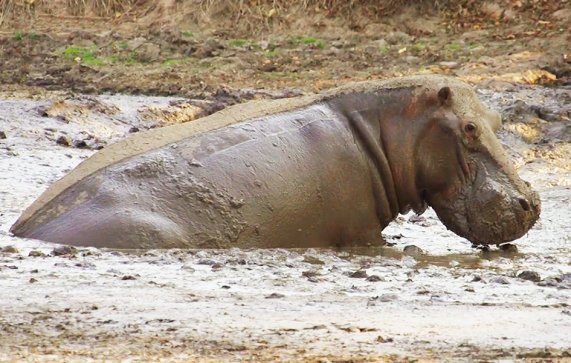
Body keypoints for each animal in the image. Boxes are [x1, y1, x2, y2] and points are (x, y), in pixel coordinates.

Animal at [12, 75, 540, 249]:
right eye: (468, 129)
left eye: (496, 118)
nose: (531, 203)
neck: (387, 125)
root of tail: (25, 231)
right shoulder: (361, 234)